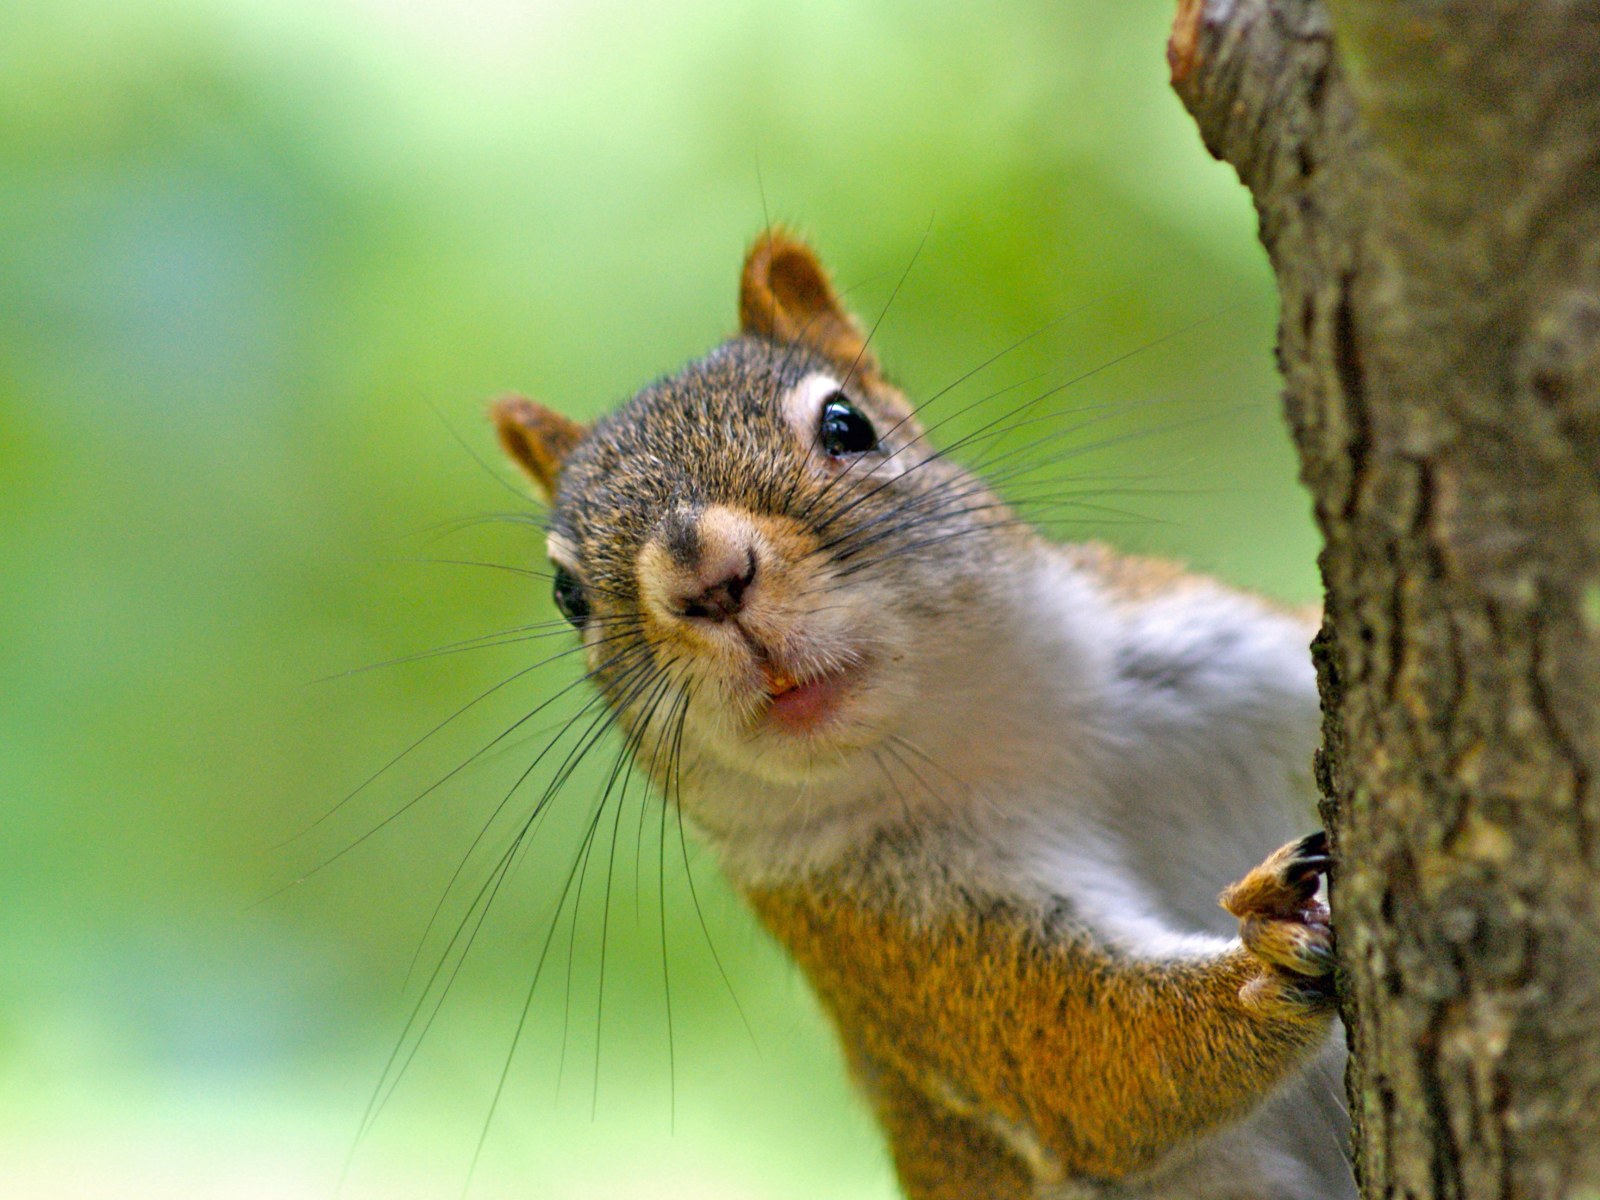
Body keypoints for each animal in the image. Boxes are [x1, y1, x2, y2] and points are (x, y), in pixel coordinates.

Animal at [488, 232, 1352, 1200]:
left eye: (845, 425)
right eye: (567, 595)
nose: (705, 580)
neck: (986, 731)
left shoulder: (1230, 654)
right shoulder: (889, 930)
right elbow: (1084, 1051)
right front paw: (1268, 956)